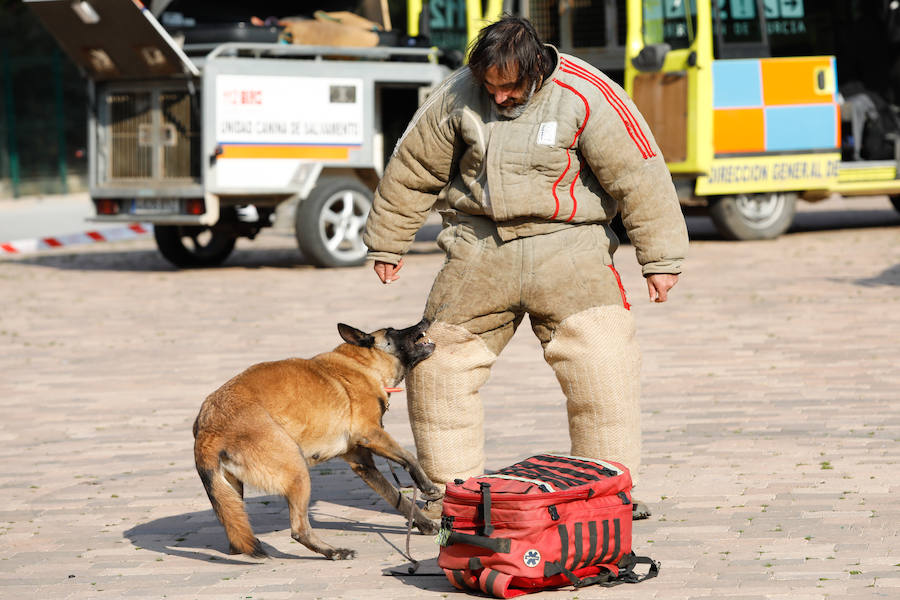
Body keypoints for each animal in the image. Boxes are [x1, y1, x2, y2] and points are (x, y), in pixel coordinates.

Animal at [192, 322, 440, 560]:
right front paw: (428, 487)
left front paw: (425, 523)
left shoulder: (363, 464)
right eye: (392, 331)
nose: (425, 320)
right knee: (299, 530)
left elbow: (397, 498)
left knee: (236, 532)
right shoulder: (371, 433)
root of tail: (208, 427)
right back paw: (334, 552)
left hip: (233, 490)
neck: (363, 364)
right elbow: (409, 457)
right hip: (297, 471)